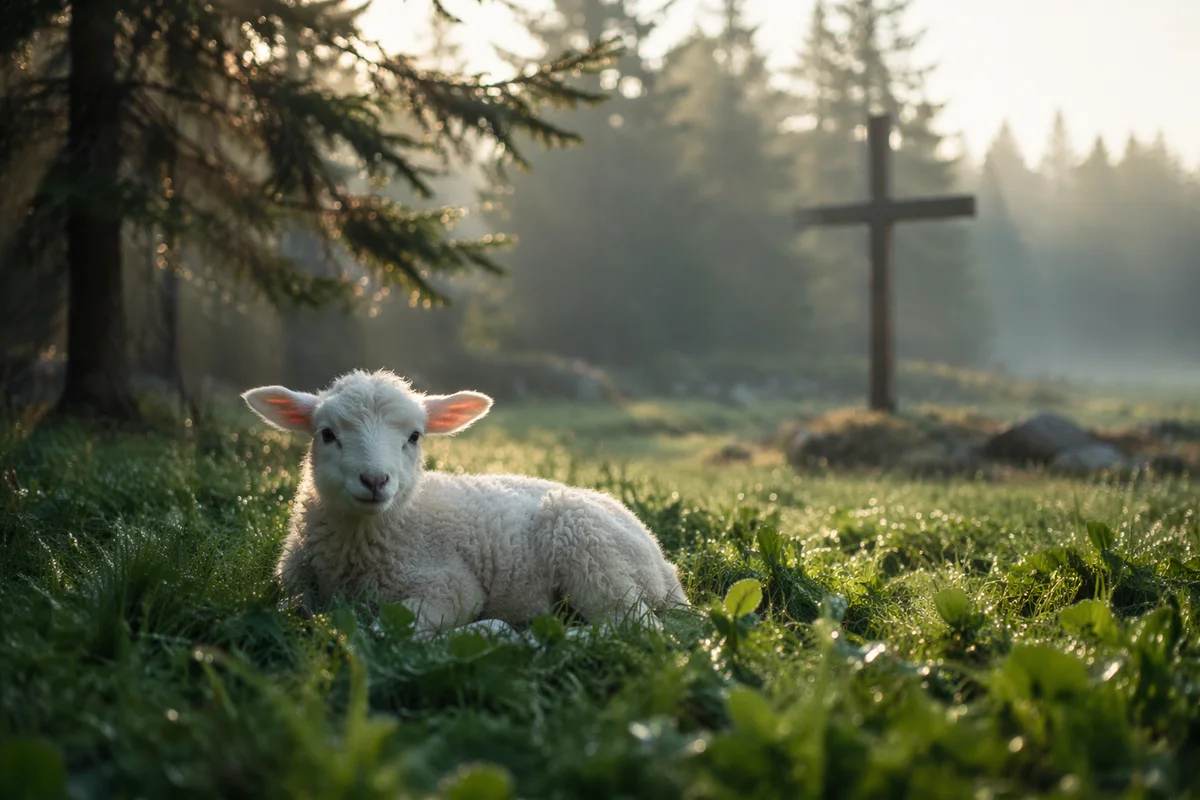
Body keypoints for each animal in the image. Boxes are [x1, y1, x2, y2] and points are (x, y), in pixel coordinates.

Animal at [241, 369, 689, 639]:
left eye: (415, 436)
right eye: (327, 434)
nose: (375, 480)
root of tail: (666, 568)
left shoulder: (450, 586)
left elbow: (387, 630)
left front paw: (481, 630)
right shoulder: (296, 586)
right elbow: (285, 609)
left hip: (591, 550)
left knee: (634, 626)